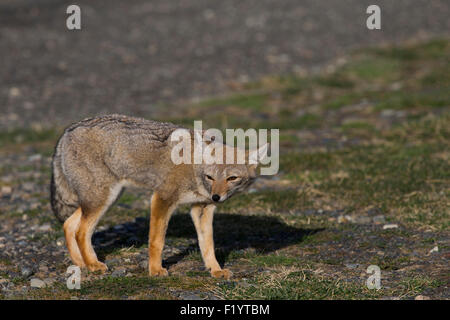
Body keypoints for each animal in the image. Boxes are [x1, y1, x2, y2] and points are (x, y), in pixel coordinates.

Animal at [50, 114, 268, 278]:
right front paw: (155, 270)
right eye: (210, 177)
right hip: (102, 199)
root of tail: (69, 130)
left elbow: (208, 244)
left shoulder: (202, 208)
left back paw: (81, 264)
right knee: (81, 231)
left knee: (69, 225)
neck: (193, 169)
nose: (216, 197)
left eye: (232, 178)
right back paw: (94, 265)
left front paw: (215, 270)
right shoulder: (162, 198)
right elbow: (157, 241)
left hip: (106, 198)